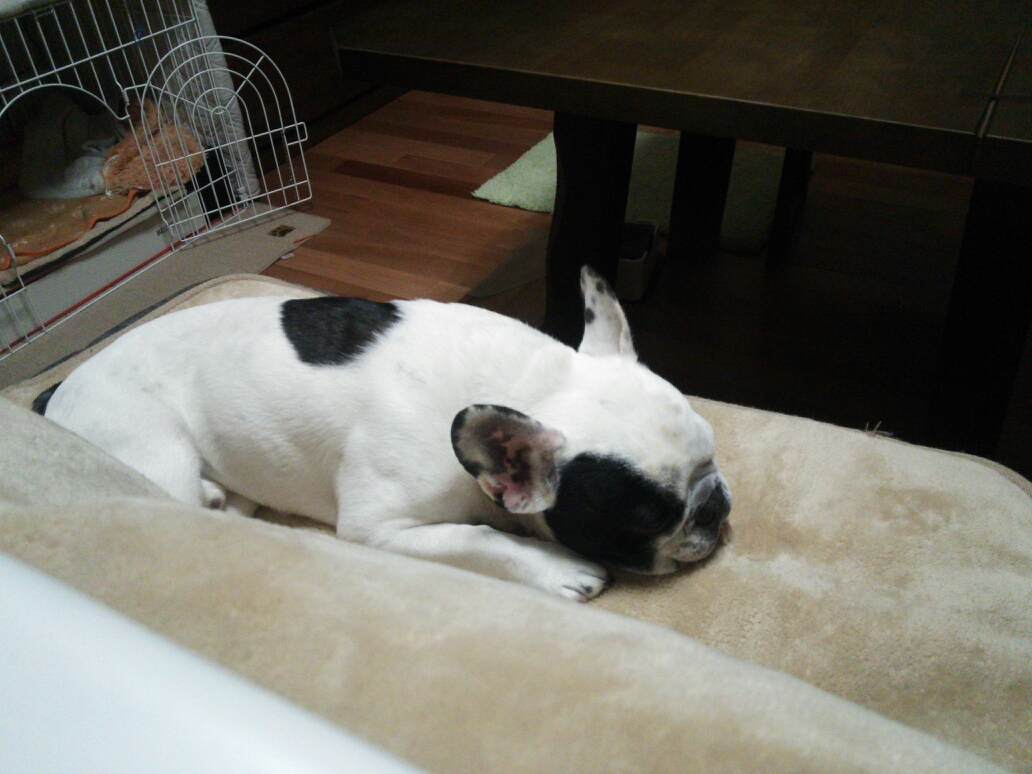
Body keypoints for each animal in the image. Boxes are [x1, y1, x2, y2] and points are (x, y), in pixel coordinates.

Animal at [35, 266, 731, 601]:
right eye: (646, 519)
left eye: (714, 459)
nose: (715, 506)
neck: (531, 386)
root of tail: (61, 385)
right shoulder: (379, 527)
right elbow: (477, 537)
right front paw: (554, 569)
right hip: (154, 448)